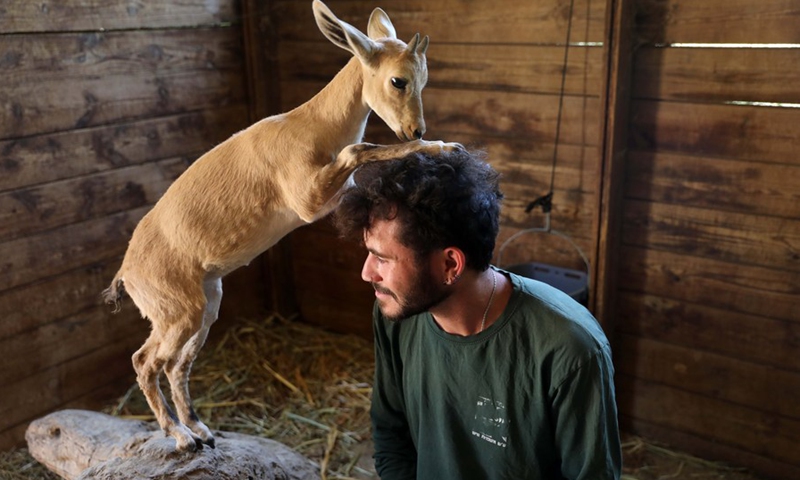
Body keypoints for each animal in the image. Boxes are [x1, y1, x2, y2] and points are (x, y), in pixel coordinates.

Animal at [103, 0, 460, 452]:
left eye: (424, 78)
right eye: (398, 80)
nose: (416, 128)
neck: (309, 128)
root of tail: (126, 274)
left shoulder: (336, 193)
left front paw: (442, 149)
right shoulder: (309, 199)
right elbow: (360, 148)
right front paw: (441, 146)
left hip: (205, 305)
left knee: (176, 365)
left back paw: (202, 430)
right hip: (177, 313)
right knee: (144, 362)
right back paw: (183, 438)